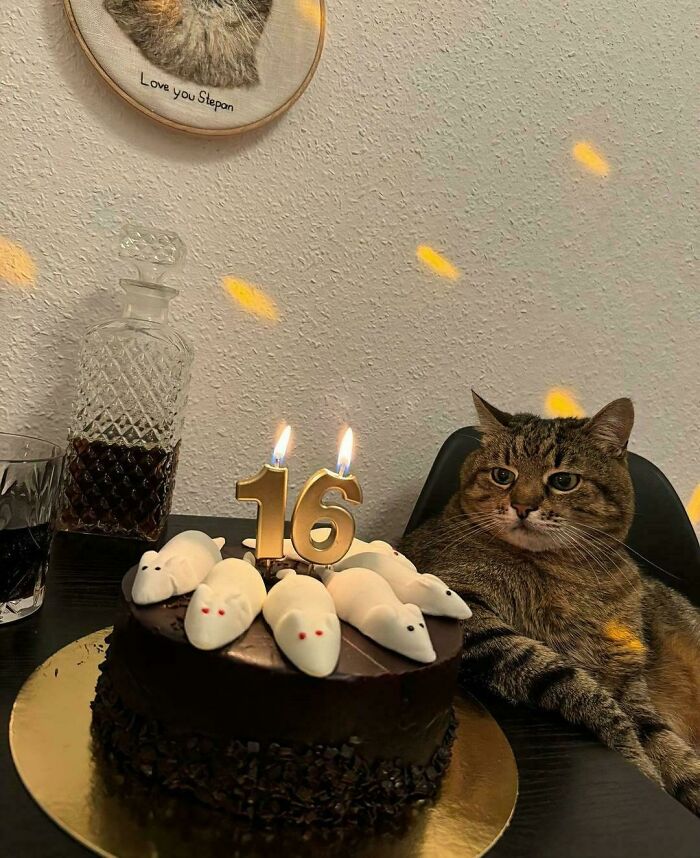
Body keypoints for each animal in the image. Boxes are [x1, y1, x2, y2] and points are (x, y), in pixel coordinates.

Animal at [400, 392, 700, 812]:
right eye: (502, 475)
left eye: (563, 481)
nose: (522, 506)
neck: (573, 573)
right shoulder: (470, 613)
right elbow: (583, 692)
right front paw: (641, 763)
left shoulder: (629, 676)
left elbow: (661, 737)